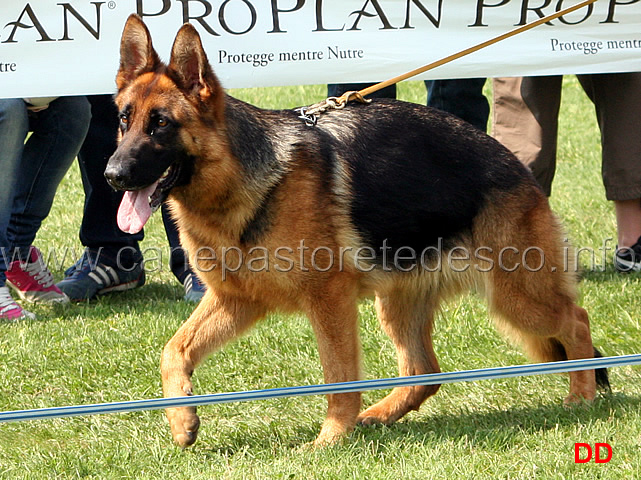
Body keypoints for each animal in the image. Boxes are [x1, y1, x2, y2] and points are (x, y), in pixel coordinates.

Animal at [106, 15, 608, 450]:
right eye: (124, 120)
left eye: (161, 124)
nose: (112, 176)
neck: (240, 179)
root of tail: (516, 166)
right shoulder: (236, 299)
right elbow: (174, 349)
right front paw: (182, 419)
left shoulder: (329, 299)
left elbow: (338, 374)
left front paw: (331, 438)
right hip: (400, 304)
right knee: (424, 369)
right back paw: (382, 415)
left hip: (514, 296)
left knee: (576, 321)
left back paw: (582, 396)